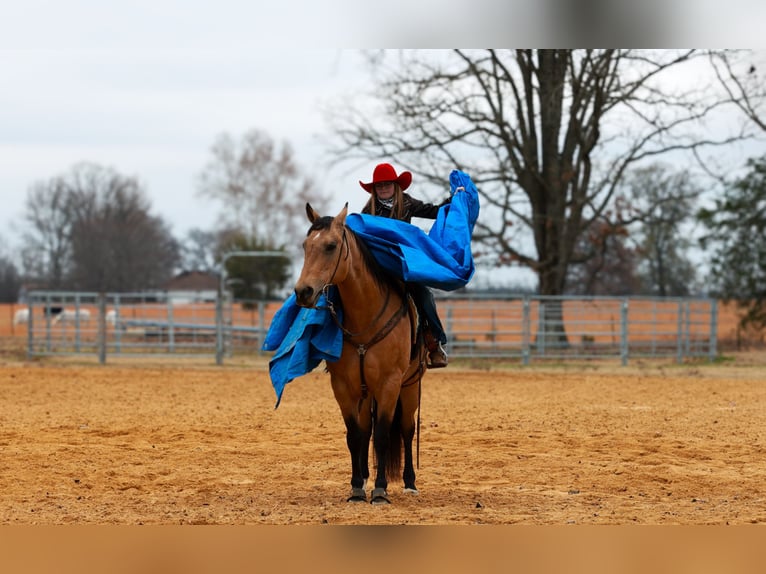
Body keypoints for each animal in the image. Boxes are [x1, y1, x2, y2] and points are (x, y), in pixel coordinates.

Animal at [294, 202, 428, 505]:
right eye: (305, 245)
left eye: (331, 245)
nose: (303, 291)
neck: (365, 317)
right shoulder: (343, 385)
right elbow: (355, 435)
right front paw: (357, 487)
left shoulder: (389, 383)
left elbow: (383, 435)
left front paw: (380, 490)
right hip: (366, 392)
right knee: (366, 430)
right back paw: (366, 478)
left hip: (410, 385)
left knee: (406, 428)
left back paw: (409, 482)